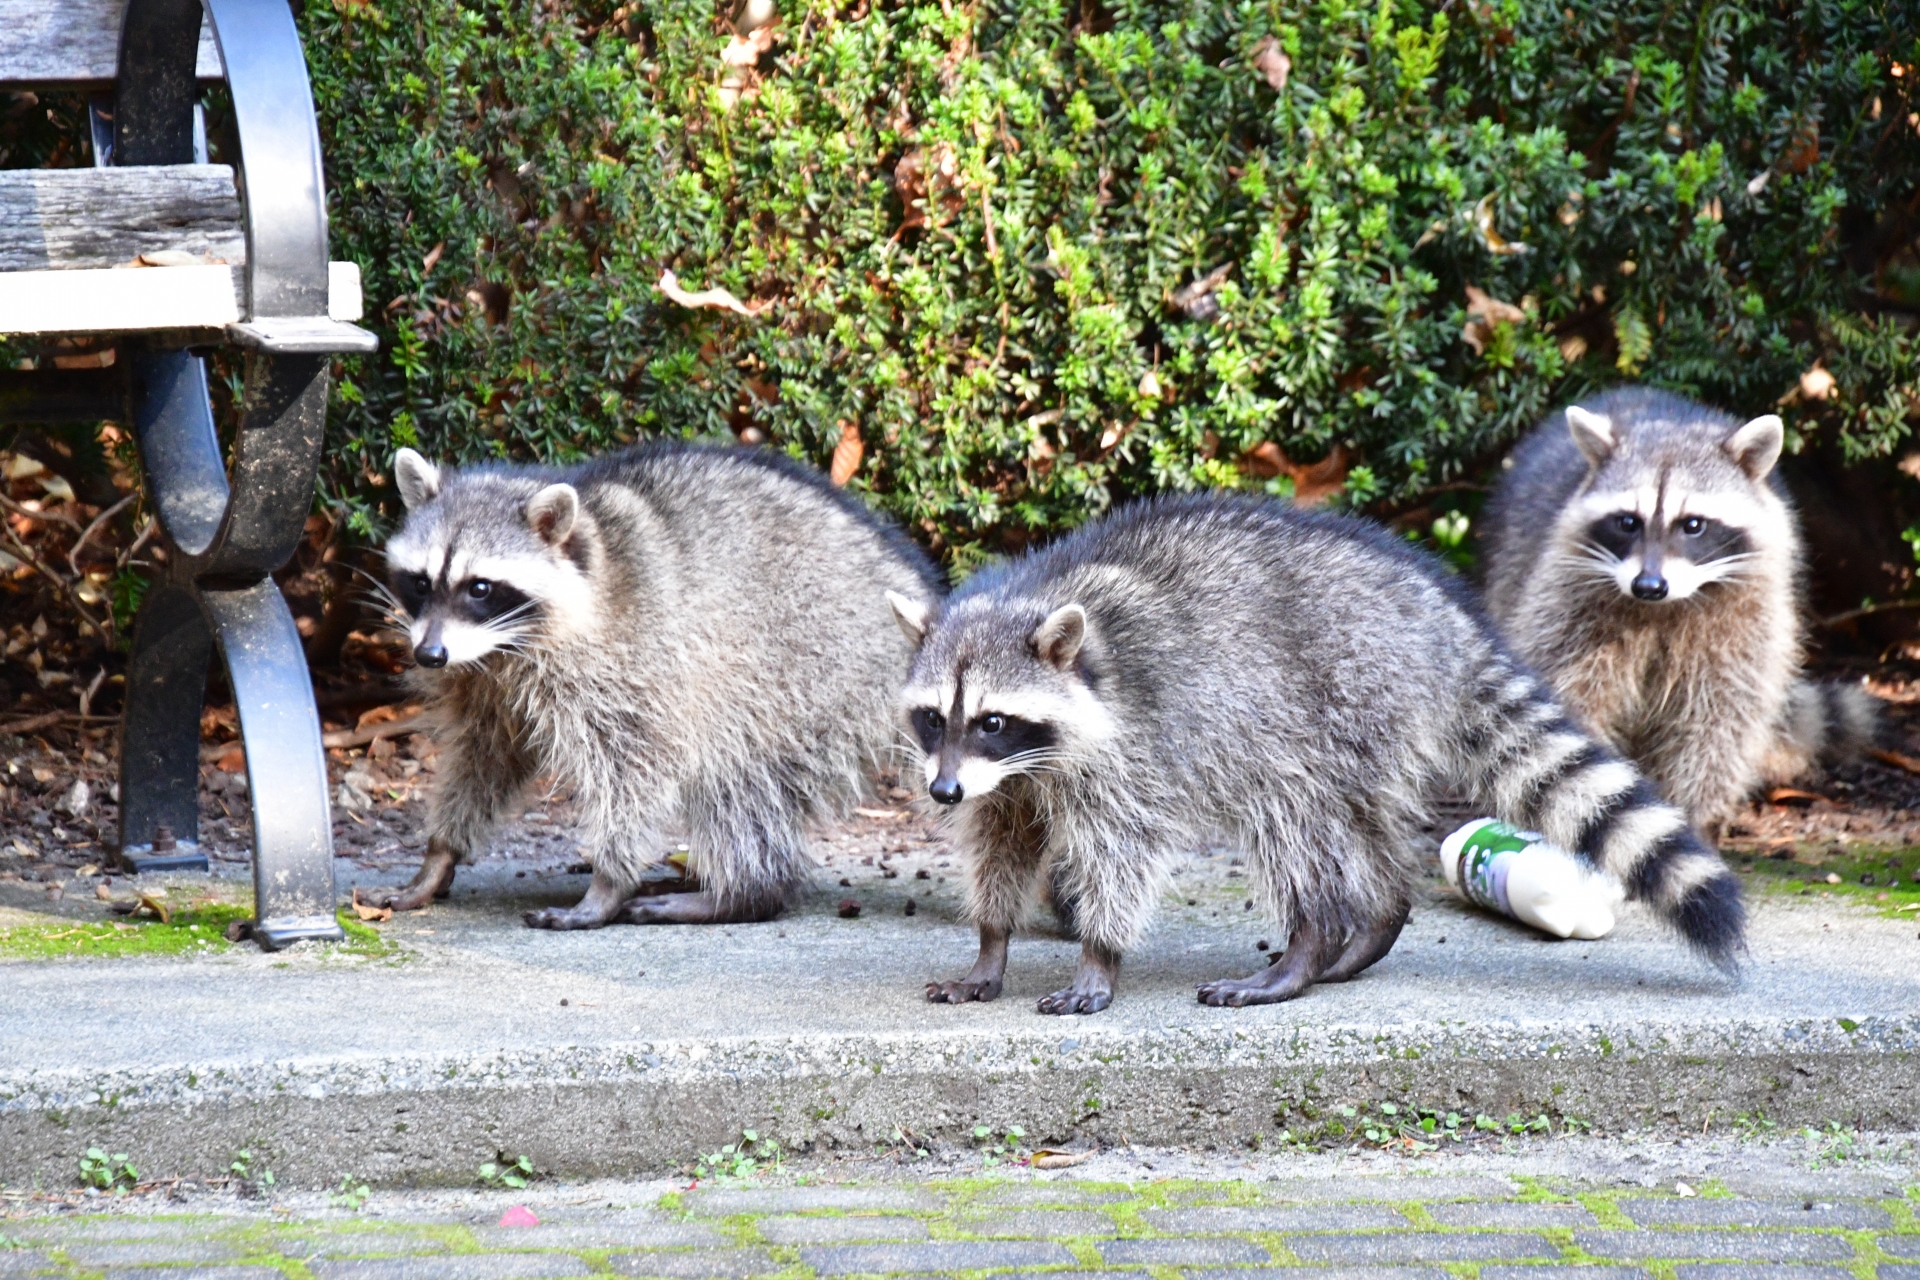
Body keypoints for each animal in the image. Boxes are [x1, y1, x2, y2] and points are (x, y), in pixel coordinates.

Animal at [362, 445, 940, 924]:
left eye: (479, 588)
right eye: (420, 583)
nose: (429, 655)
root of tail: (923, 611)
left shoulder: (633, 662)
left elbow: (636, 765)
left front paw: (608, 881)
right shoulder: (484, 684)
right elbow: (481, 757)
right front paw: (439, 856)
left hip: (808, 668)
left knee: (735, 775)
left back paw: (742, 893)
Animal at [890, 495, 1751, 1013]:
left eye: (993, 720)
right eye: (934, 718)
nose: (940, 794)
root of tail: (1434, 612)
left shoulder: (1133, 752)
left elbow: (1121, 851)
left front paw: (1099, 956)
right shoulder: (1005, 784)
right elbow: (1000, 843)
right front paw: (989, 946)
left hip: (1332, 695)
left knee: (1292, 820)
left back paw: (1309, 943)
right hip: (1361, 735)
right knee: (1359, 826)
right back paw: (1374, 921)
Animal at [1482, 391, 1873, 832]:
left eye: (1693, 525)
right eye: (1627, 522)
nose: (1648, 586)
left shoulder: (1746, 622)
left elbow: (1718, 723)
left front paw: (1693, 813)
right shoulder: (1568, 600)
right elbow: (1574, 697)